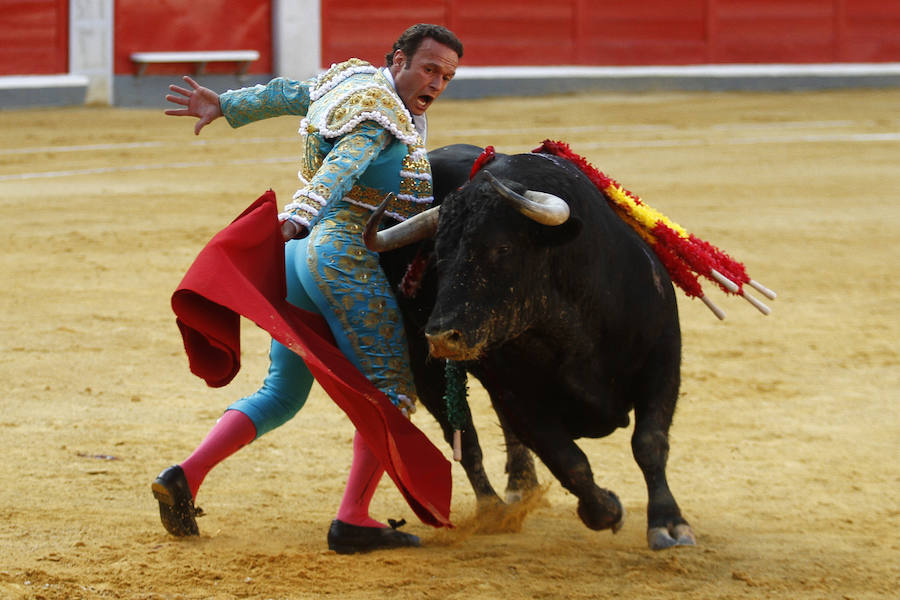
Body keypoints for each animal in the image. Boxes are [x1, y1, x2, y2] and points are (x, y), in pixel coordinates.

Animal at [372, 144, 696, 548]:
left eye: (502, 247)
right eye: (437, 254)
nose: (442, 336)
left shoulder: (664, 355)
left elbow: (650, 442)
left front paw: (669, 524)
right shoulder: (519, 397)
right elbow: (567, 460)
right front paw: (607, 509)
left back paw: (522, 488)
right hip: (424, 367)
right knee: (466, 439)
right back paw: (494, 509)